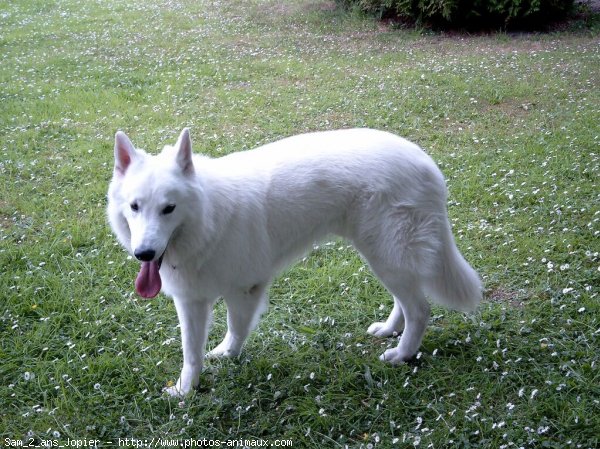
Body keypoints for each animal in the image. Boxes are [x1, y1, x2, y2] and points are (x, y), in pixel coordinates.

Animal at [106, 127, 482, 396]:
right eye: (135, 207)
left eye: (168, 208)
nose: (144, 254)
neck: (207, 219)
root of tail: (427, 164)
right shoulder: (191, 301)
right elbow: (191, 353)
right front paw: (186, 391)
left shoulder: (244, 290)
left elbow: (235, 329)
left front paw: (227, 356)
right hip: (382, 256)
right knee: (405, 302)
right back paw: (390, 329)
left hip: (386, 255)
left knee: (420, 309)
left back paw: (402, 354)